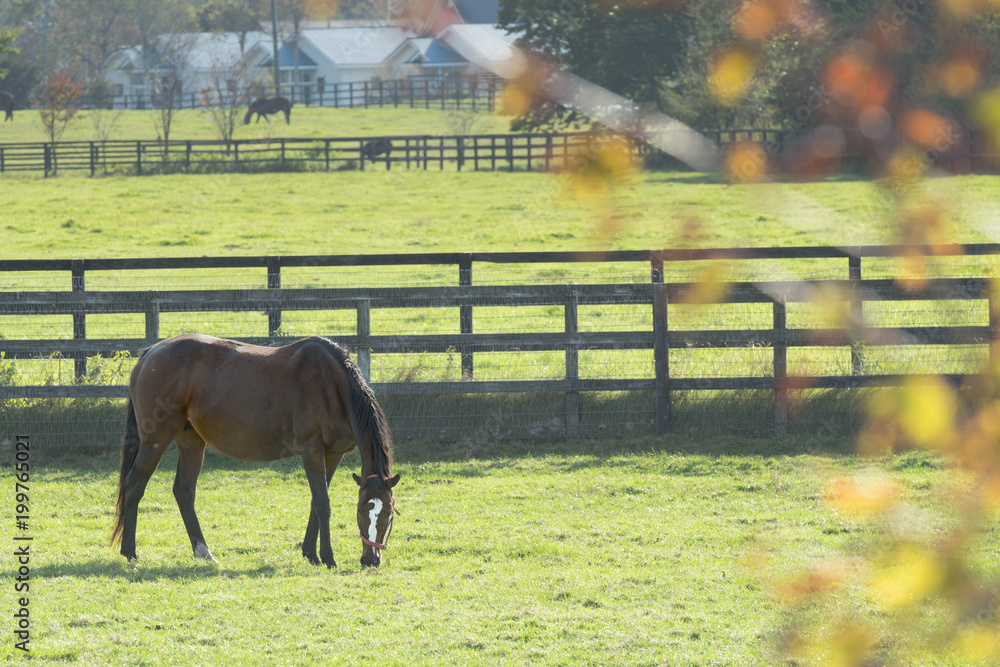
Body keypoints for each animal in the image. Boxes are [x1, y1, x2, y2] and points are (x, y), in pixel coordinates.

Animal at [110, 334, 399, 569]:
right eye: (362, 511)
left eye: (388, 513)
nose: (371, 560)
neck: (332, 384)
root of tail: (152, 351)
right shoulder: (312, 450)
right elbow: (323, 503)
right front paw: (327, 558)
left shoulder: (333, 454)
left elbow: (315, 503)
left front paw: (311, 554)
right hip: (155, 440)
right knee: (134, 484)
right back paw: (130, 552)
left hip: (191, 442)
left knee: (184, 492)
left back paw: (204, 552)